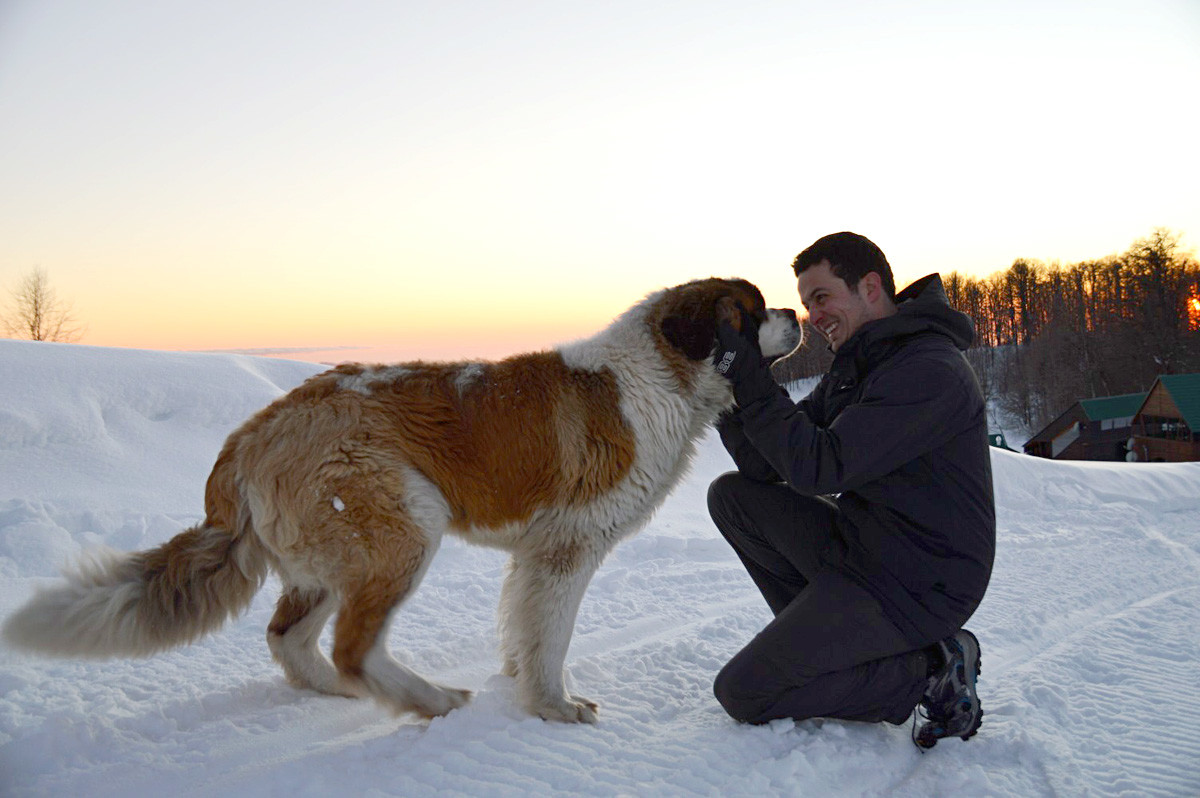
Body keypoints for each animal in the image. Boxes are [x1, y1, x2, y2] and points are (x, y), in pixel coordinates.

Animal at [7, 277, 806, 724]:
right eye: (750, 310)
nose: (797, 312)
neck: (662, 375)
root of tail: (253, 432)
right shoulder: (566, 550)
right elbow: (551, 637)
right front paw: (553, 706)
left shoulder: (536, 556)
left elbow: (524, 628)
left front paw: (519, 681)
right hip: (404, 527)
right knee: (352, 645)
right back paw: (428, 701)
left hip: (333, 557)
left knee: (290, 637)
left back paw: (345, 693)